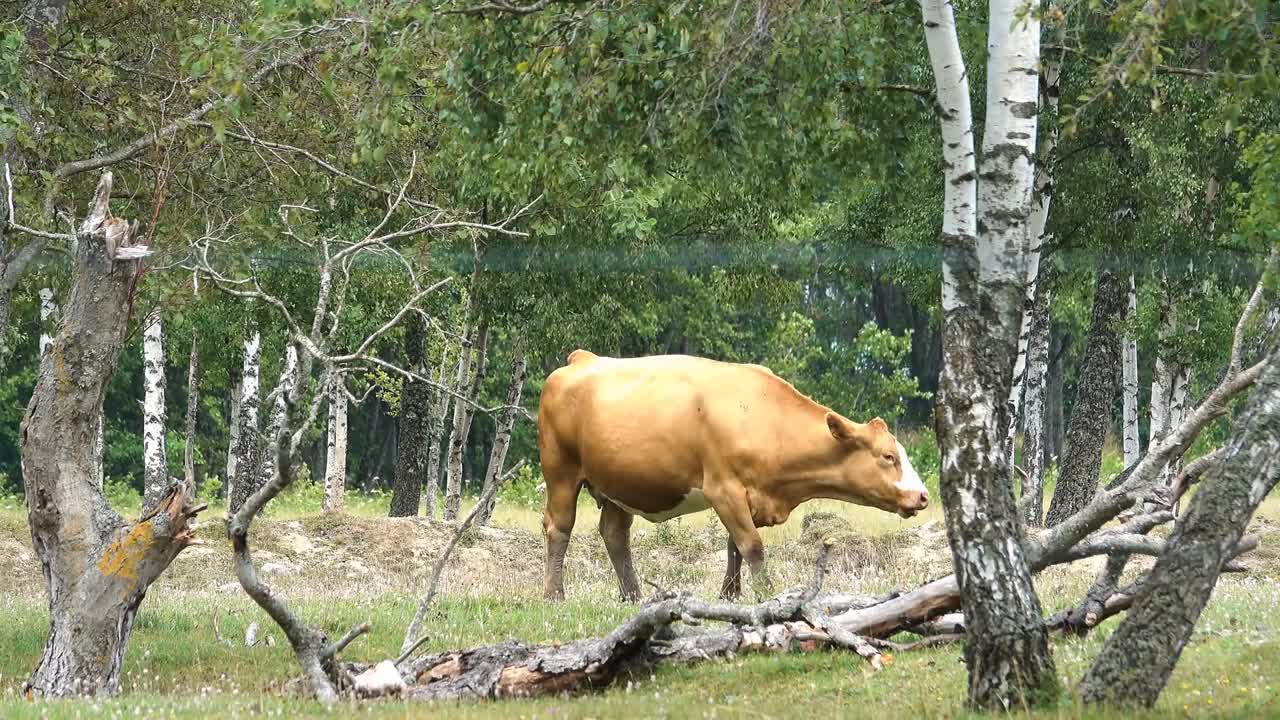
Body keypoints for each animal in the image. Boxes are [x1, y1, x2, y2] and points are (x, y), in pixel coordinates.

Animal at [535, 348, 926, 599]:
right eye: (888, 456)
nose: (922, 496)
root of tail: (582, 359)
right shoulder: (724, 489)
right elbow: (751, 545)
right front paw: (766, 595)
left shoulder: (748, 497)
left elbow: (733, 546)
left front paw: (730, 595)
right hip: (561, 473)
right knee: (560, 527)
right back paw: (555, 594)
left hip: (620, 483)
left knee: (615, 534)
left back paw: (633, 596)